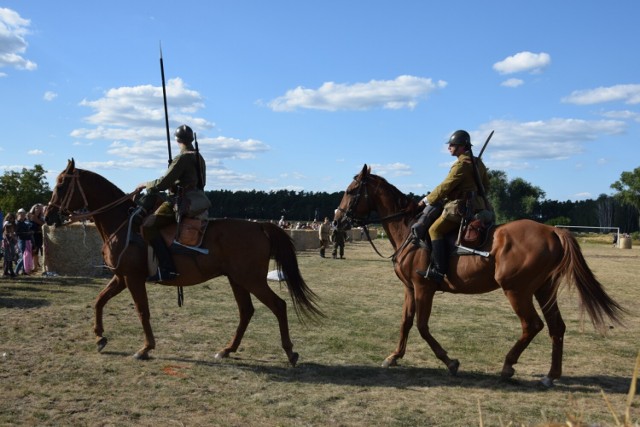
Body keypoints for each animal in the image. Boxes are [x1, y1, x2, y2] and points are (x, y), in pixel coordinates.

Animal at [44, 159, 322, 366]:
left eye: (61, 185)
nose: (48, 216)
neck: (122, 224)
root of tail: (261, 227)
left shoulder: (132, 279)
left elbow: (142, 311)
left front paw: (146, 348)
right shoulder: (121, 277)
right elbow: (99, 300)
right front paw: (100, 337)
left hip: (251, 280)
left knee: (278, 306)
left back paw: (289, 352)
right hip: (237, 280)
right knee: (246, 311)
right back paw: (227, 349)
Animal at [336, 165, 624, 388]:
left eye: (351, 191)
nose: (338, 221)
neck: (410, 229)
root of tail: (553, 231)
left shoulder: (423, 288)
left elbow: (422, 326)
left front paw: (450, 361)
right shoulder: (410, 289)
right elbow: (406, 323)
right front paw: (394, 356)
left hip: (517, 291)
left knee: (532, 325)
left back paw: (508, 367)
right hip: (544, 289)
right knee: (556, 328)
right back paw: (551, 376)